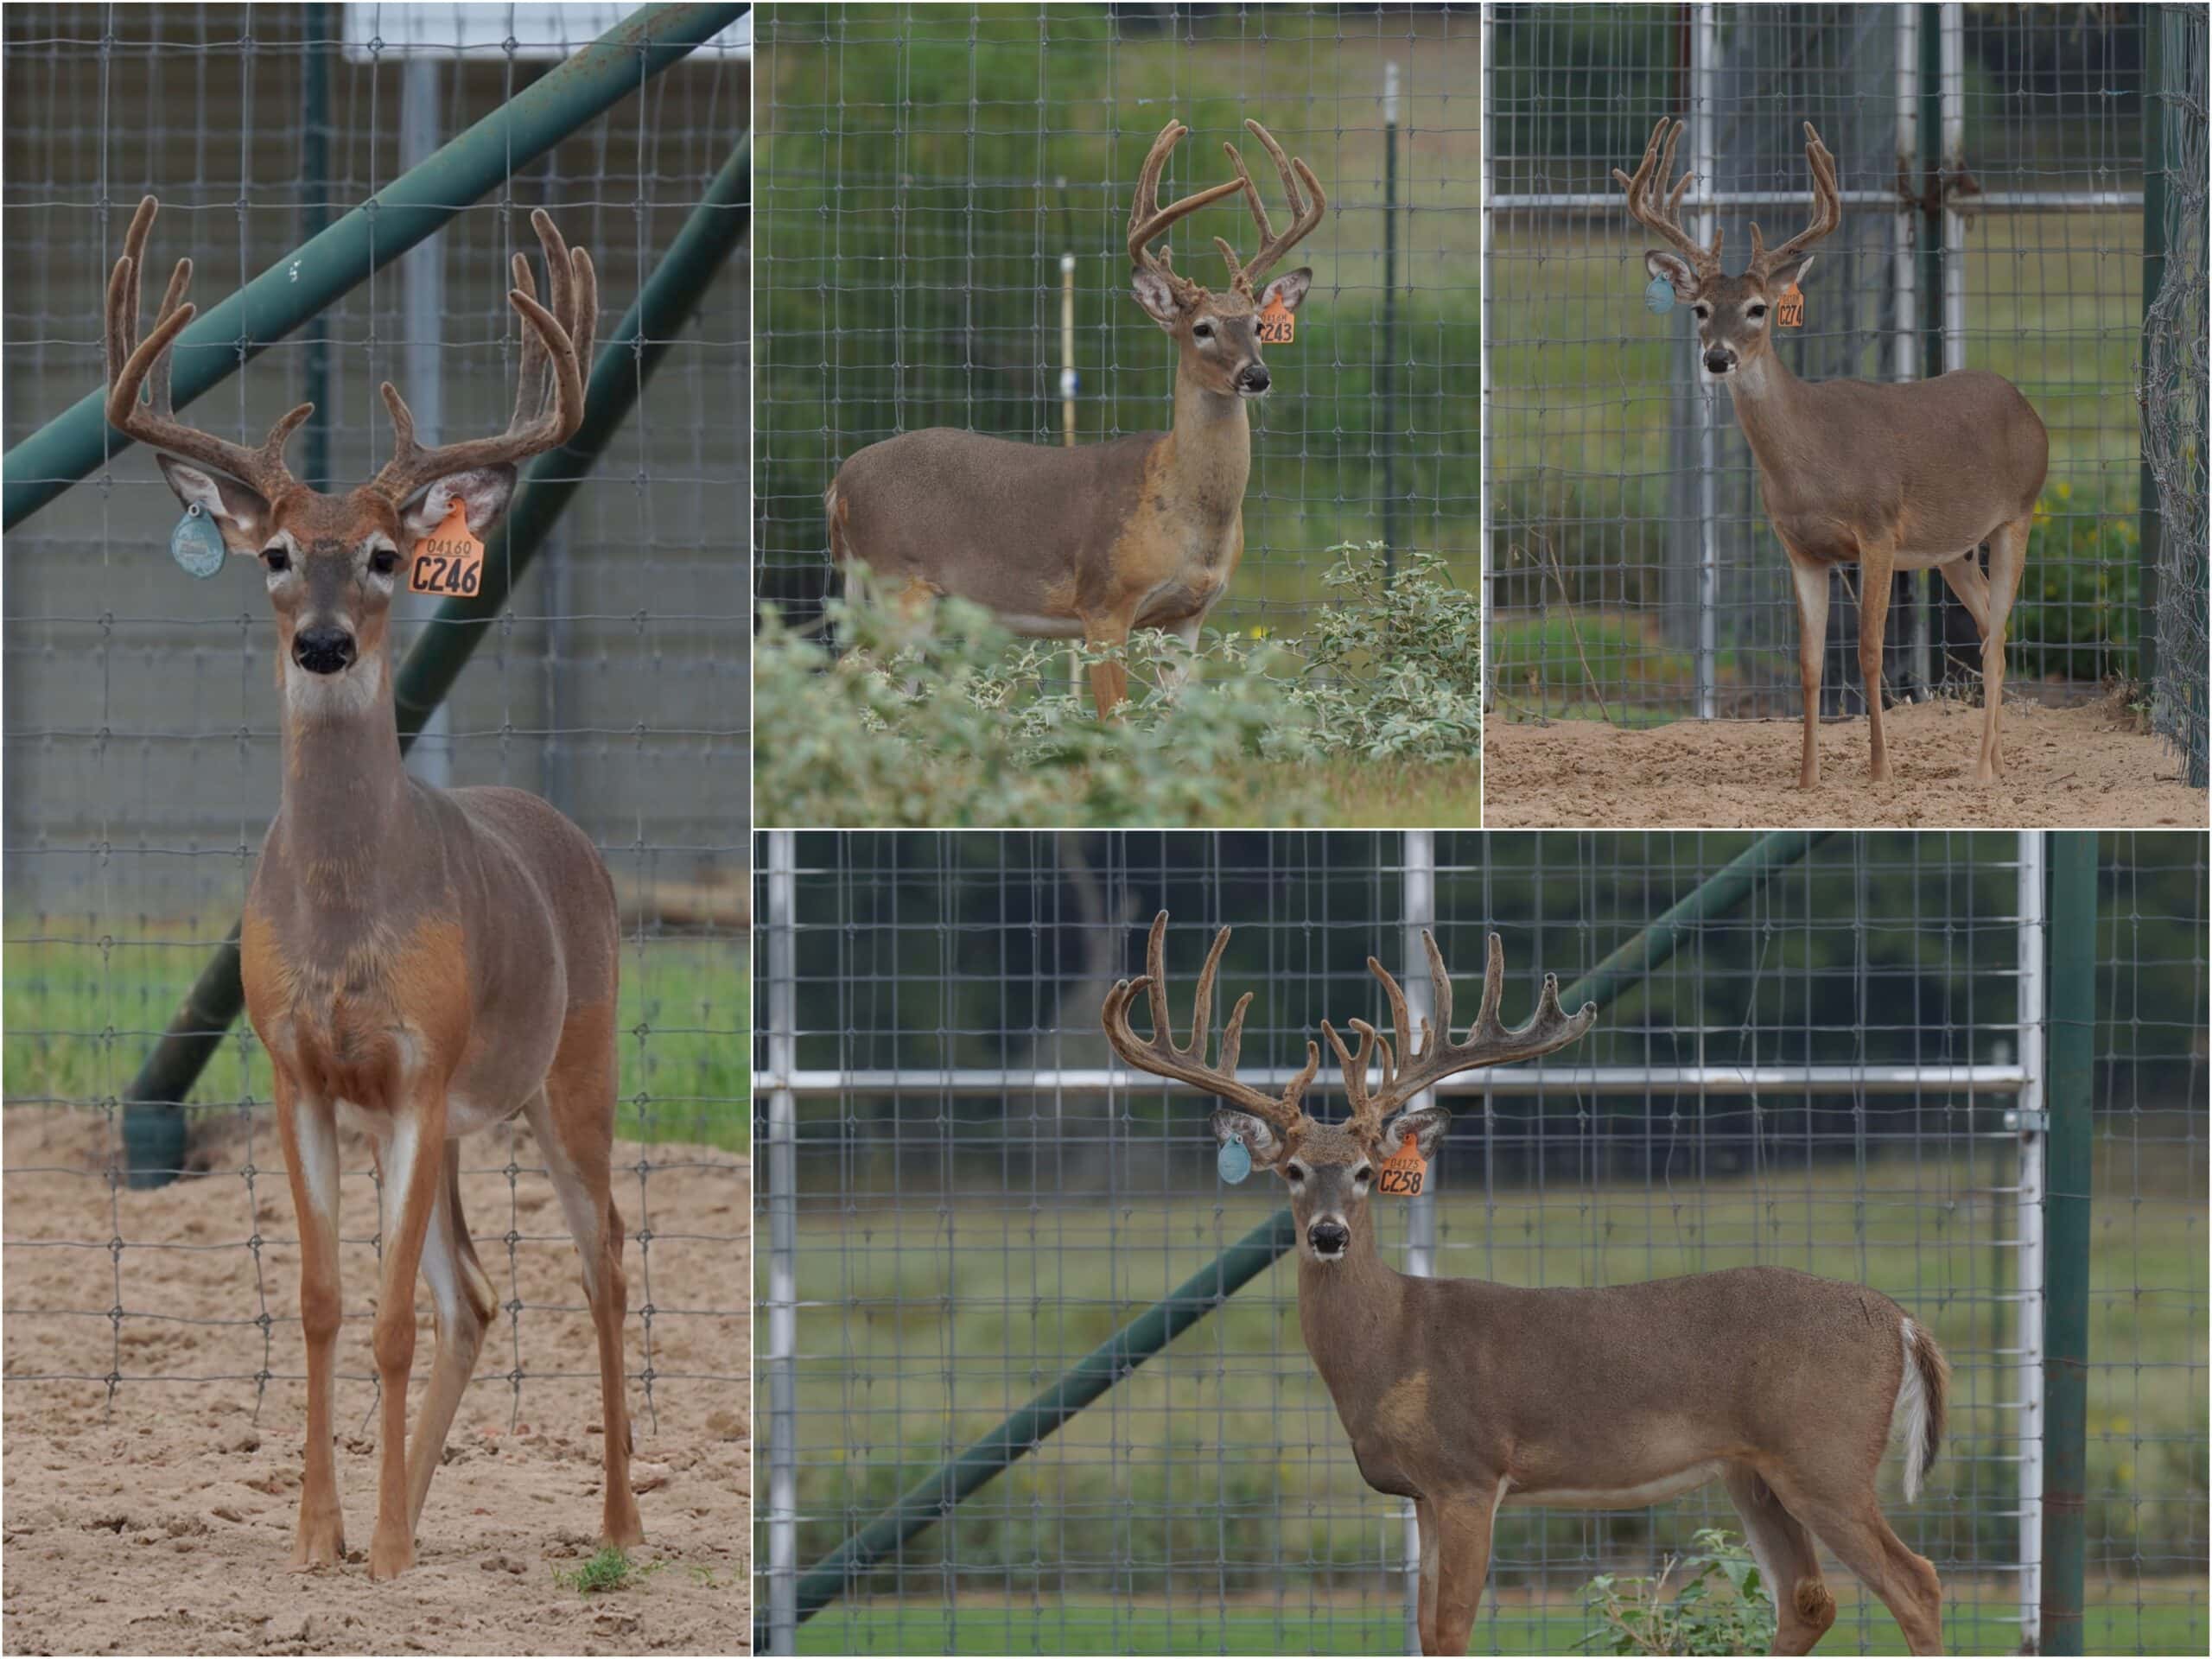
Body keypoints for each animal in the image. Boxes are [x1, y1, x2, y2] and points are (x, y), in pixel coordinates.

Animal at [102, 196, 642, 1578]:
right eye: (280, 553)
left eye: (395, 557)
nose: (325, 644)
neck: (347, 918)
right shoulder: (302, 1067)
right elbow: (326, 1302)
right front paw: (320, 1540)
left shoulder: (420, 1063)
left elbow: (390, 1316)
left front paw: (384, 1551)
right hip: (459, 1122)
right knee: (477, 1293)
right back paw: (421, 1505)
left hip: (572, 1067)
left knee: (602, 1260)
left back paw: (615, 1528)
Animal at [823, 117, 1325, 717]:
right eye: (1202, 328)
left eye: (1257, 324)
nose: (1256, 376)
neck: (1185, 507)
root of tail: (839, 481)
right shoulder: (1104, 602)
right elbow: (1115, 719)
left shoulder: (1187, 618)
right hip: (897, 583)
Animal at [1104, 912, 1953, 1656]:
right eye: (1290, 1171)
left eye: (1367, 1172)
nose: (1328, 1234)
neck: (1392, 1348)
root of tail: (1902, 1320)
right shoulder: (1423, 1494)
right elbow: (1427, 1630)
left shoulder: (1469, 1472)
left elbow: (1451, 1630)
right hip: (1755, 1472)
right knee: (1810, 1599)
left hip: (1825, 1453)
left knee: (1916, 1581)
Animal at [1617, 117, 2049, 789]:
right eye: (1701, 309)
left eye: (1758, 309)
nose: (1718, 358)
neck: (1813, 462)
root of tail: (2028, 409)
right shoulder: (1801, 549)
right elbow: (1810, 662)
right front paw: (1808, 777)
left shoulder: (1878, 530)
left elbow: (1869, 653)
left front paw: (1879, 770)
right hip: (1951, 548)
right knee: (1988, 628)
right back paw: (1997, 761)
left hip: (2019, 512)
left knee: (2000, 634)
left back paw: (1980, 769)